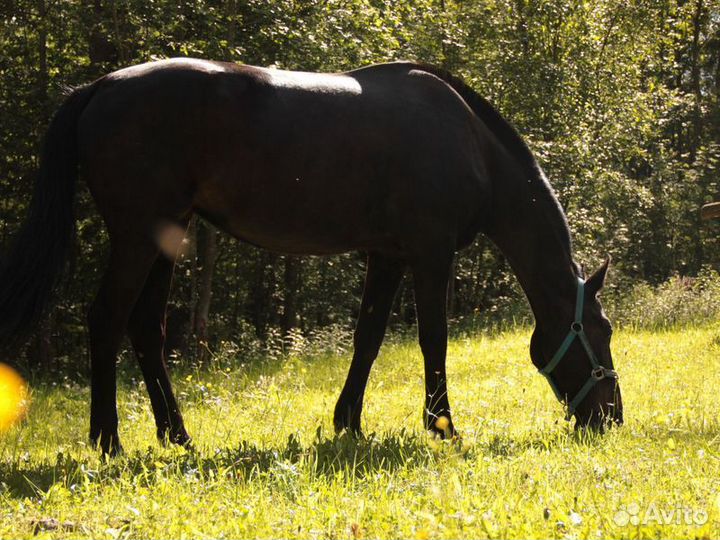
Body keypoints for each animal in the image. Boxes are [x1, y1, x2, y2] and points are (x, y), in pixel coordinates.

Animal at [0, 58, 620, 456]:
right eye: (602, 330)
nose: (610, 417)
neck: (469, 143)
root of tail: (99, 86)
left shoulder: (387, 255)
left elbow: (368, 338)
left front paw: (348, 423)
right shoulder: (430, 253)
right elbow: (432, 340)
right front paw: (443, 427)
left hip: (164, 239)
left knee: (146, 329)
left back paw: (178, 436)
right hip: (135, 239)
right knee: (107, 320)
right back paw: (108, 440)